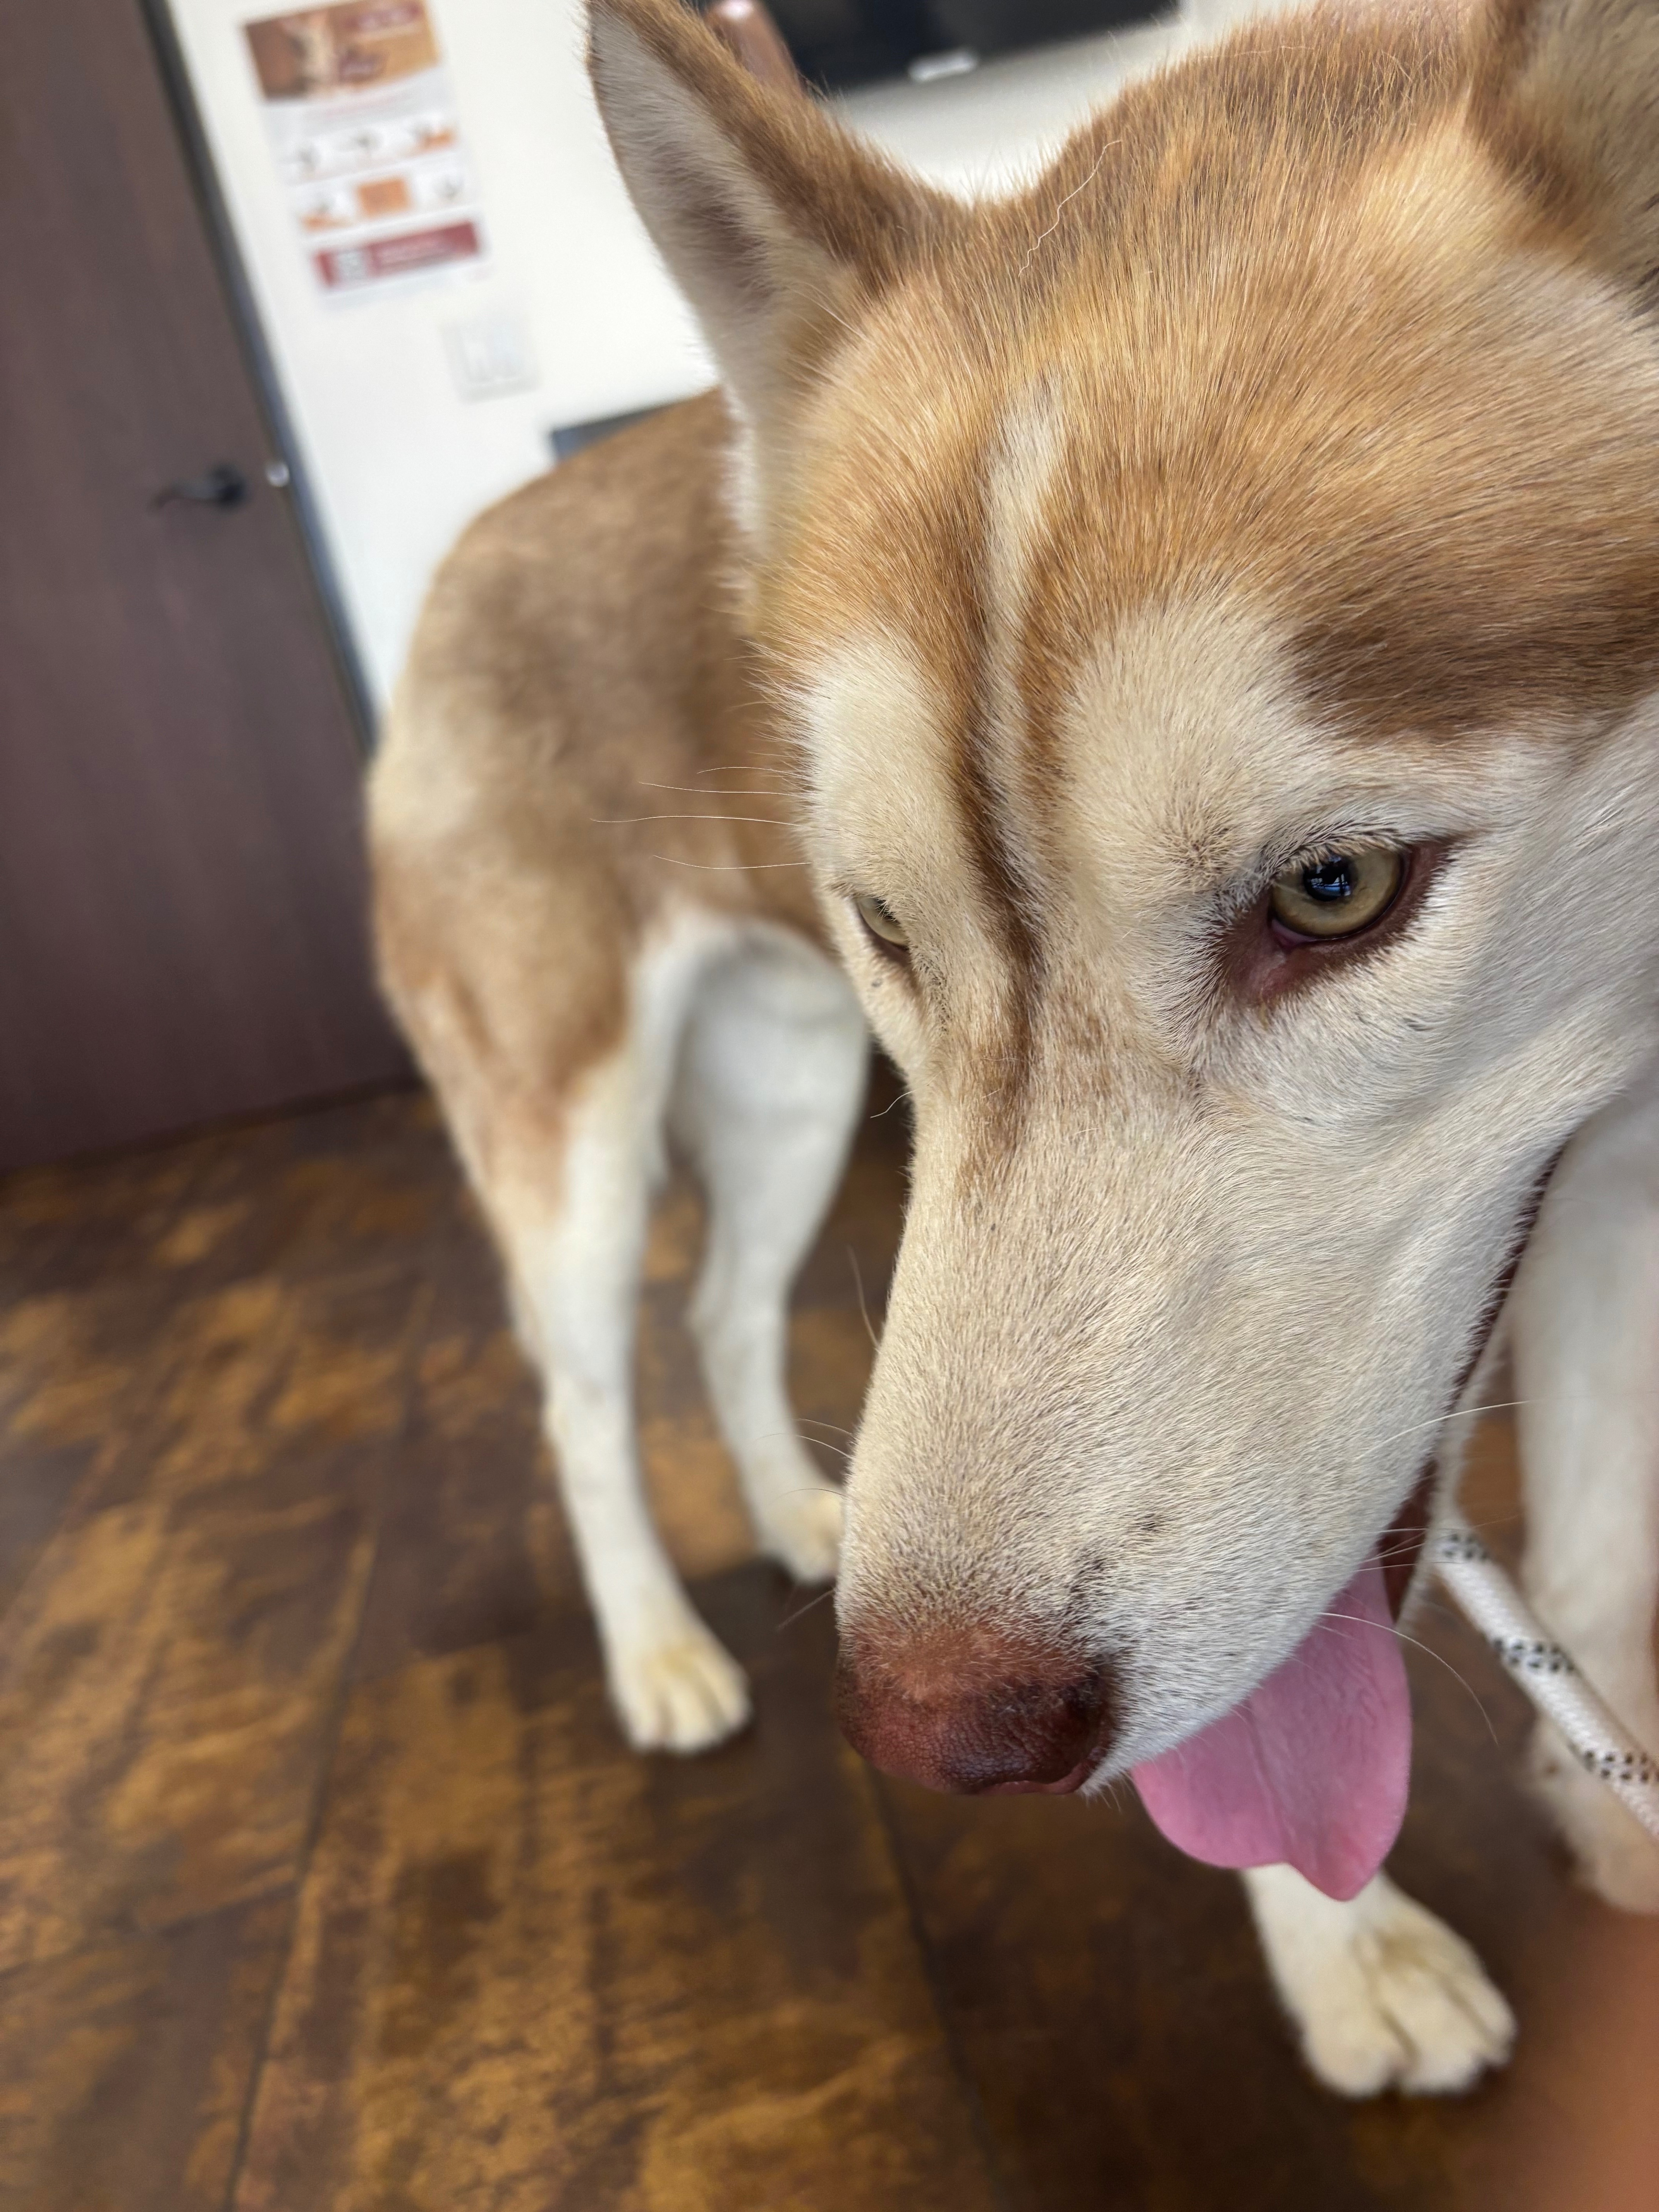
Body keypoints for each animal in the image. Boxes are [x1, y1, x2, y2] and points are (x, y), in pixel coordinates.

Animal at [369, 0, 1659, 2096]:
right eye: (892, 919)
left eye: (1331, 888)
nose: (930, 1735)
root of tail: (474, 539)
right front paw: (1337, 1948)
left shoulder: (1613, 1161)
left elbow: (1608, 1545)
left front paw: (1603, 1795)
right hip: (575, 1140)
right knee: (577, 1397)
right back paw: (656, 1649)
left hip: (793, 1089)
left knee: (723, 1306)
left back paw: (792, 1506)